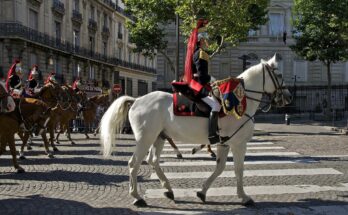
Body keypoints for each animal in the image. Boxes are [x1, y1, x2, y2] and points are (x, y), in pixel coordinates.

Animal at [100, 53, 290, 207]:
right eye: (279, 74)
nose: (288, 97)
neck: (239, 99)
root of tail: (136, 100)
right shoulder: (238, 144)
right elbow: (238, 169)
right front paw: (244, 197)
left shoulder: (224, 143)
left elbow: (220, 168)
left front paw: (202, 192)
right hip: (145, 139)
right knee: (134, 164)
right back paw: (137, 197)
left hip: (159, 137)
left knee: (153, 160)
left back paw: (168, 189)